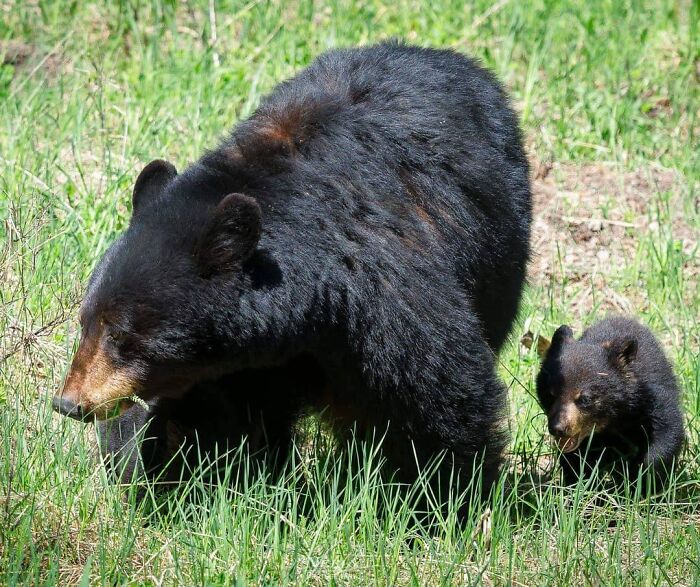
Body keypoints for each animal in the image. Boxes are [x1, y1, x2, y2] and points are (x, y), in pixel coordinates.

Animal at [53, 42, 532, 503]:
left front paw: (441, 499)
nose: (69, 403)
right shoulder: (232, 366)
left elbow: (435, 391)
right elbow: (218, 422)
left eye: (120, 334)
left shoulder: (386, 292)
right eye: (84, 322)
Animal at [536, 316, 685, 488]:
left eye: (584, 399)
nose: (558, 428)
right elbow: (577, 461)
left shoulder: (654, 398)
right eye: (550, 395)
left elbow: (666, 432)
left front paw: (646, 483)